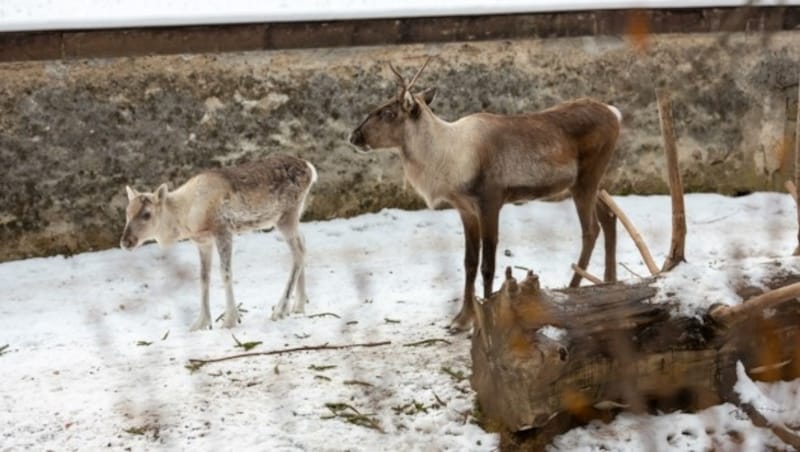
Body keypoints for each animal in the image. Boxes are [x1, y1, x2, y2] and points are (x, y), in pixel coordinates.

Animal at [120, 154, 318, 328]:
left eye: (147, 214)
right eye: (127, 212)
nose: (125, 241)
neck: (188, 218)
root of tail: (310, 168)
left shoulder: (222, 230)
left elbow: (225, 273)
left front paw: (230, 320)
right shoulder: (203, 241)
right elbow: (203, 278)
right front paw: (200, 323)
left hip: (287, 214)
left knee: (298, 252)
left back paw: (280, 309)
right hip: (293, 215)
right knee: (303, 243)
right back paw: (299, 305)